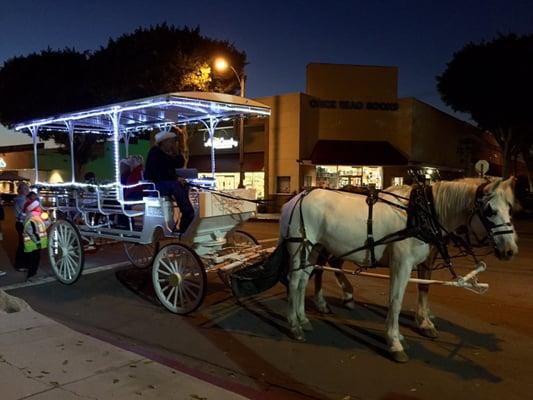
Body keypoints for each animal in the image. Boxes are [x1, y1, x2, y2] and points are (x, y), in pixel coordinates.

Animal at [280, 178, 516, 362]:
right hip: (302, 248)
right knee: (294, 281)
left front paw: (417, 326)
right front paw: (395, 342)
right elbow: (396, 301)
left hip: (314, 249)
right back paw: (295, 325)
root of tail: (295, 199)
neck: (422, 213)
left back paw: (304, 319)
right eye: (490, 211)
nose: (511, 250)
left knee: (304, 281)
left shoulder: (422, 263)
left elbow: (421, 291)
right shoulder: (402, 265)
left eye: (510, 209)